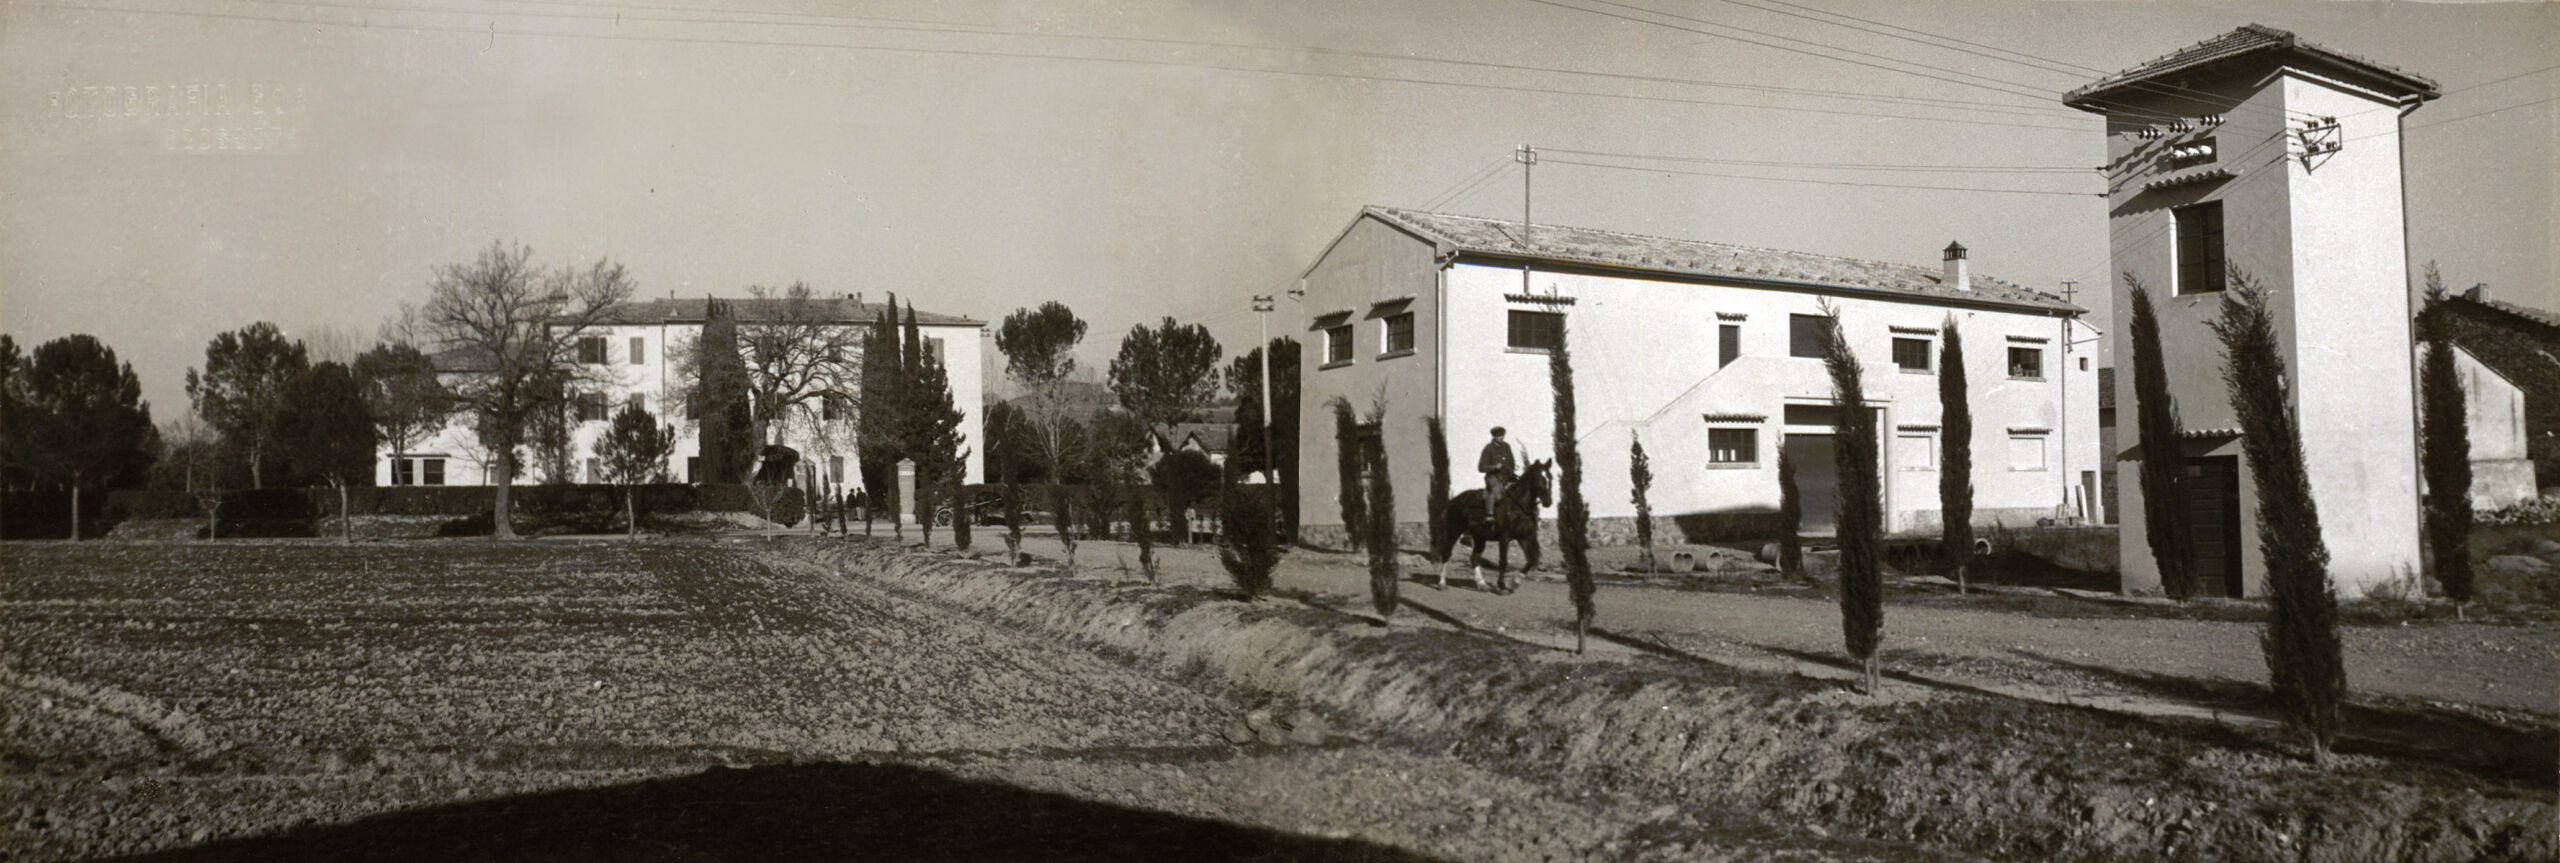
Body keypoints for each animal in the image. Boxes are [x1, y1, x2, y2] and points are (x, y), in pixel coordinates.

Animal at [1433, 455, 1546, 591]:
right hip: (1454, 531)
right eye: (1540, 479)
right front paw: (1502, 585)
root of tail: (1454, 500)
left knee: (1474, 558)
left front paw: (1514, 582)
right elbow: (1503, 561)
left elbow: (1532, 559)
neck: (1517, 506)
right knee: (1446, 553)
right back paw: (1442, 583)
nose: (1548, 500)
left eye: (1550, 478)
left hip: (1479, 537)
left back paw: (1482, 584)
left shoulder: (1525, 536)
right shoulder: (1505, 538)